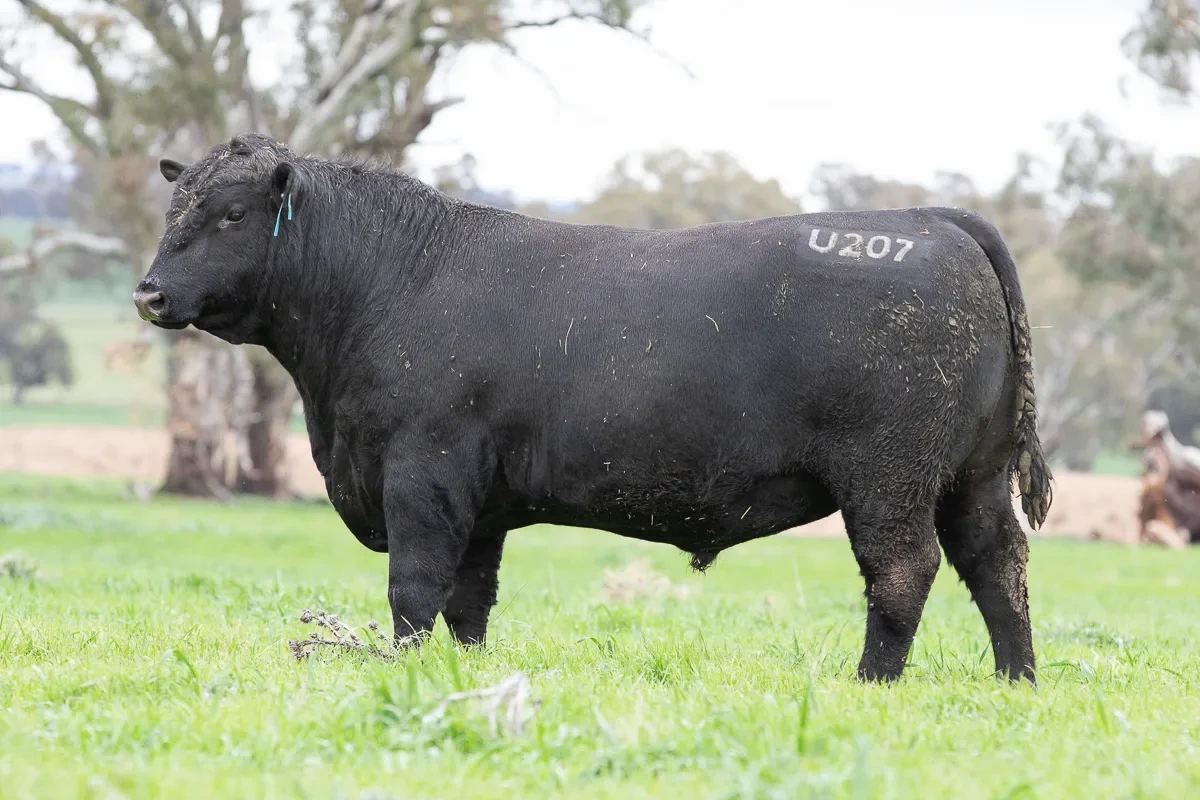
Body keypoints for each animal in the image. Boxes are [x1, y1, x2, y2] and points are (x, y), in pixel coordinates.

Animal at [134, 133, 1052, 683]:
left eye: (232, 213)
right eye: (173, 210)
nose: (148, 293)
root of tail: (930, 219)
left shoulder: (423, 473)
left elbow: (415, 588)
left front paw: (406, 672)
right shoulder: (480, 503)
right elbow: (469, 600)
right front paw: (467, 676)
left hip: (889, 479)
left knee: (905, 571)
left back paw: (871, 683)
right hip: (972, 475)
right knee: (997, 563)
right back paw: (1016, 679)